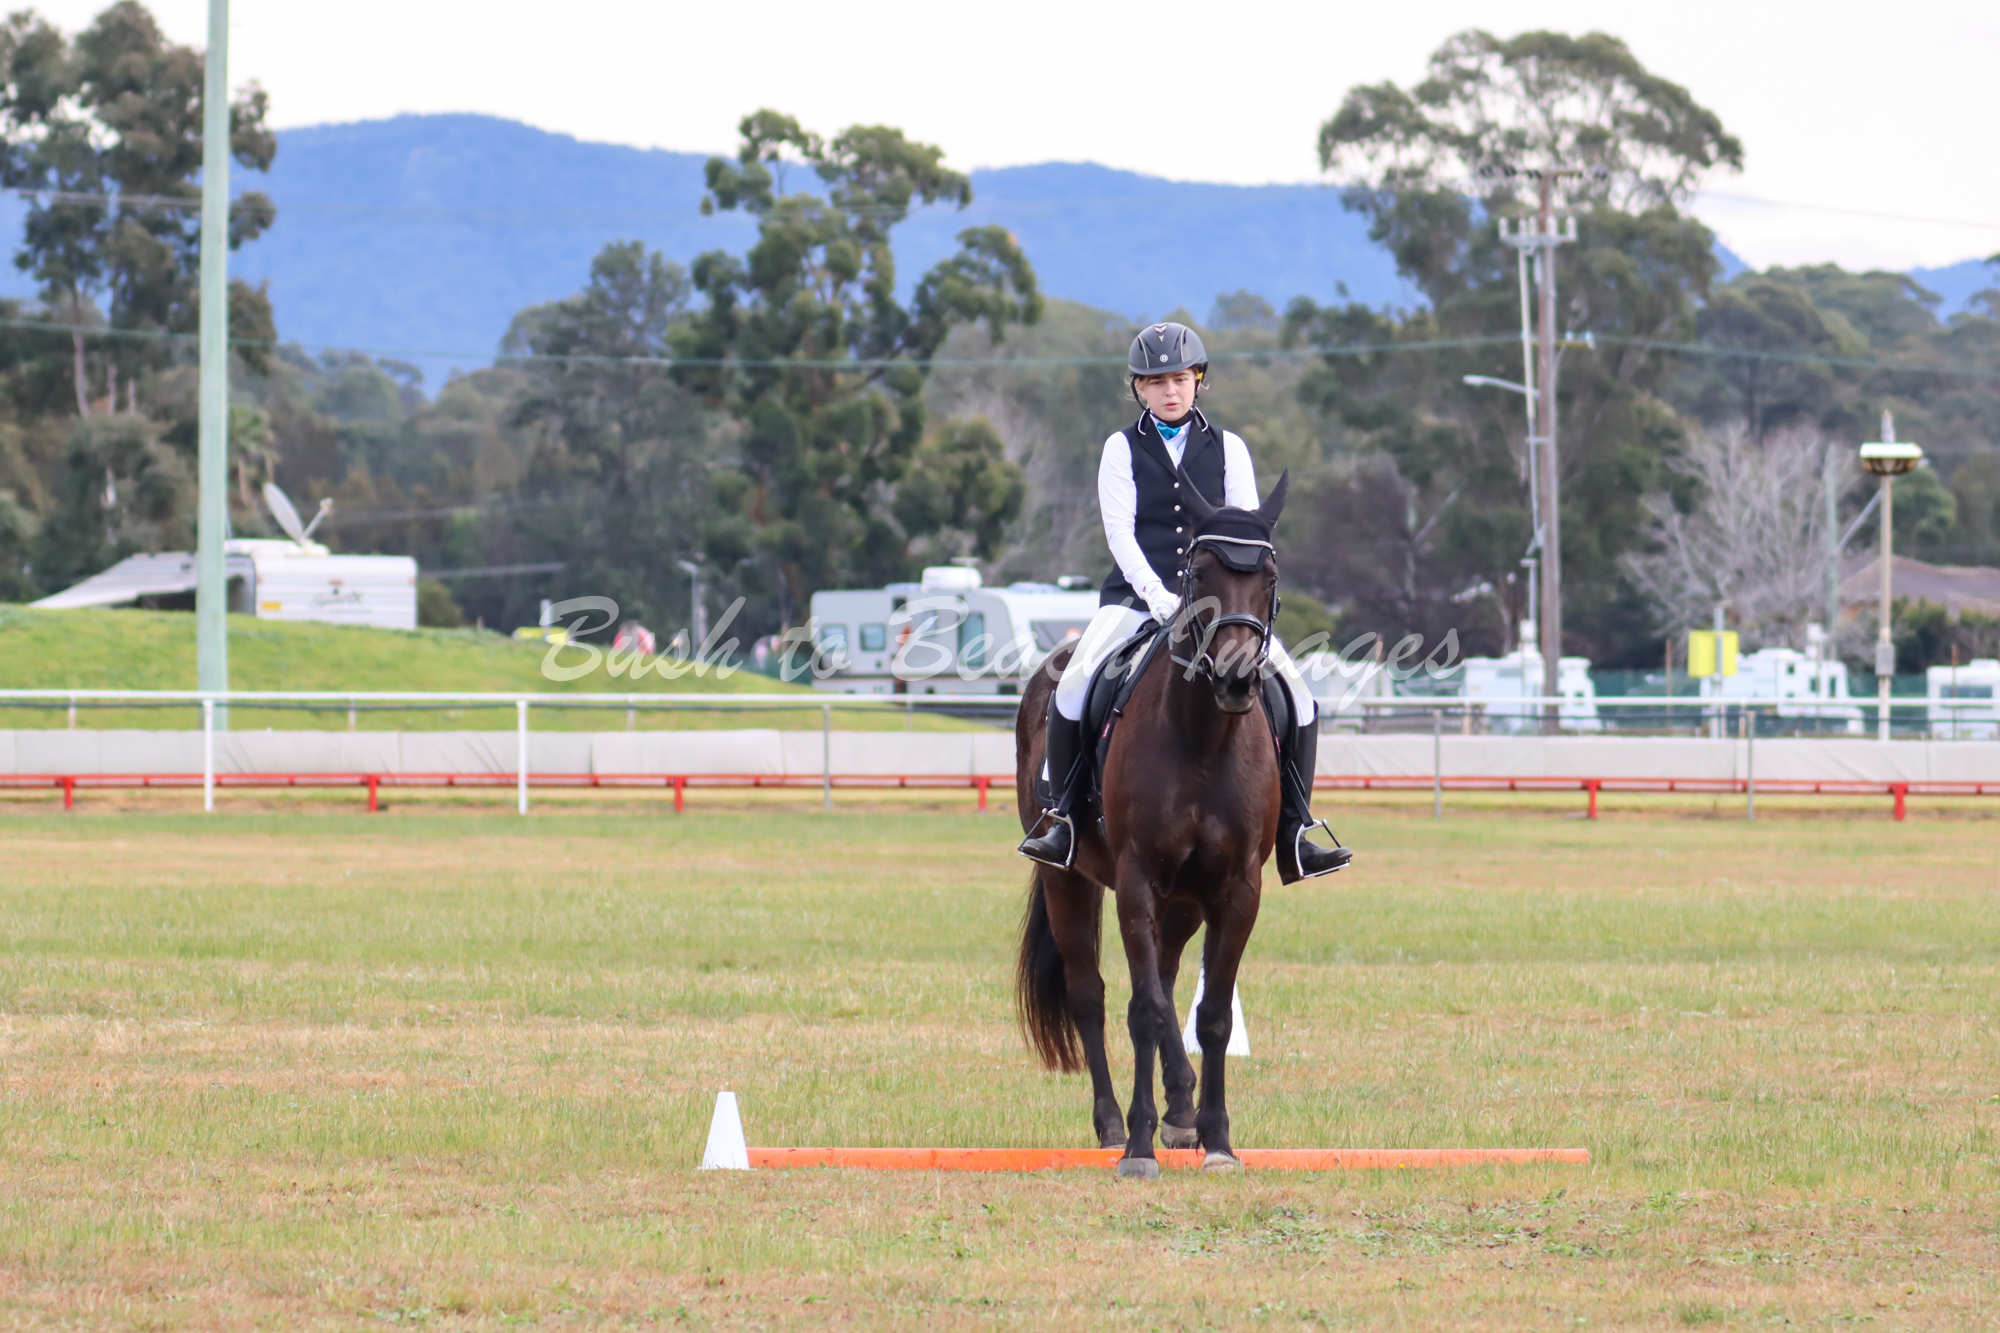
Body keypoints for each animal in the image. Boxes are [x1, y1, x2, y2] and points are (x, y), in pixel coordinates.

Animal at [1014, 475, 1289, 1176]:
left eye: (1269, 576)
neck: (1203, 737)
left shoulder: (1237, 890)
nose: (1237, 679)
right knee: (1092, 992)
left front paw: (1218, 1140)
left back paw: (1183, 1114)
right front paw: (1137, 1147)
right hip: (1069, 881)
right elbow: (1140, 1010)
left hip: (1184, 899)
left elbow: (1210, 1015)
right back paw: (1113, 1123)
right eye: (1199, 570)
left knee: (1165, 981)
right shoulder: (1136, 880)